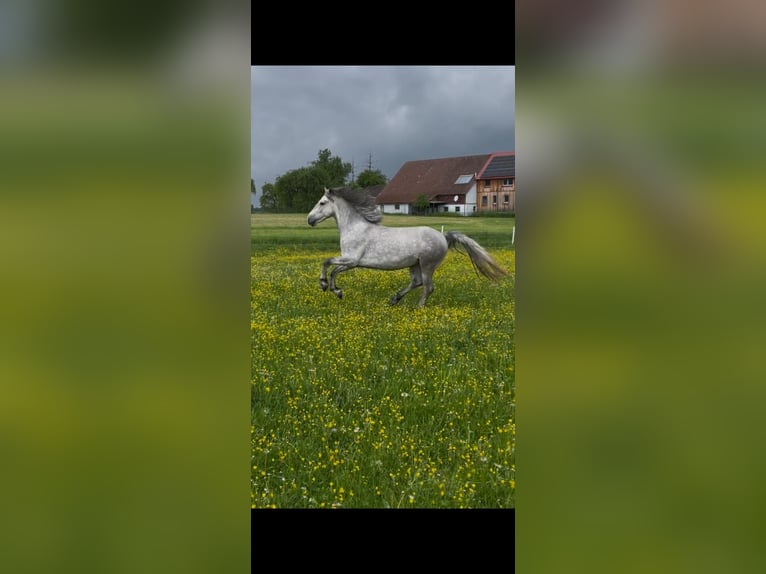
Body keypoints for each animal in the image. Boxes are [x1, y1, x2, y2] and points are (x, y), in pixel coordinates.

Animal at [307, 186, 508, 307]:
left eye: (322, 202)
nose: (309, 220)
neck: (354, 228)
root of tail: (443, 237)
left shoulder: (352, 260)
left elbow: (327, 264)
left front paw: (327, 286)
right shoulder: (350, 262)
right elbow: (332, 269)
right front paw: (336, 291)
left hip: (427, 265)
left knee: (428, 287)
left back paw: (418, 307)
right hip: (414, 264)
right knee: (417, 282)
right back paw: (394, 299)